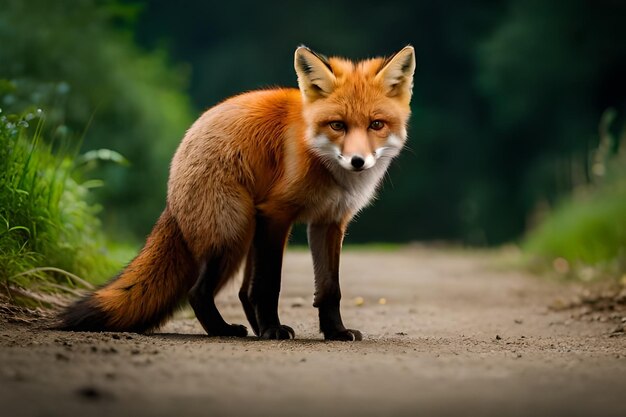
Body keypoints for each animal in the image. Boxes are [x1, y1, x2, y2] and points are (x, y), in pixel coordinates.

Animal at [56, 44, 412, 342]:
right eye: (338, 125)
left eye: (376, 124)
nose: (357, 161)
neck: (322, 161)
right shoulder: (276, 214)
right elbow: (269, 285)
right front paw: (273, 330)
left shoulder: (329, 222)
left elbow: (329, 289)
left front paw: (335, 332)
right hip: (233, 232)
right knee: (200, 292)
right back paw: (228, 330)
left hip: (246, 233)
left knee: (242, 292)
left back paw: (254, 329)